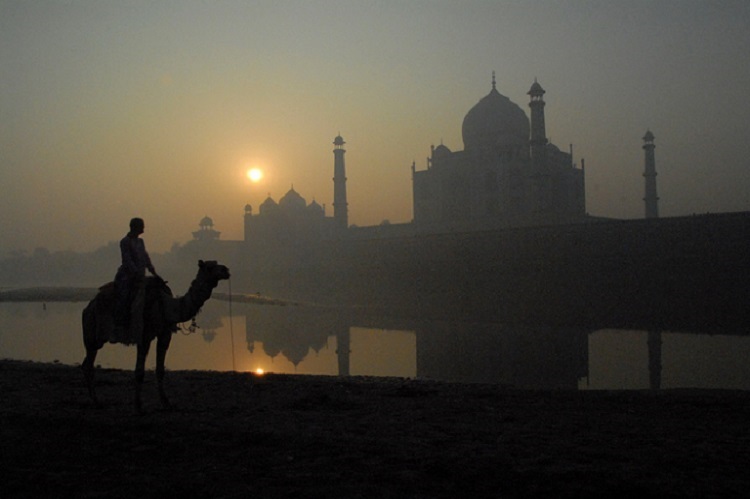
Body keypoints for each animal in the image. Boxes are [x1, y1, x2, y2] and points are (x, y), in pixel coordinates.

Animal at [81, 260, 231, 412]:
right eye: (210, 267)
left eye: (217, 263)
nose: (226, 270)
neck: (166, 306)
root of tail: (88, 306)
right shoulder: (144, 337)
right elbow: (139, 371)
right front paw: (138, 406)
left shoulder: (165, 334)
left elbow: (160, 370)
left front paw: (166, 403)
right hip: (91, 333)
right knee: (89, 365)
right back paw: (96, 401)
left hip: (96, 339)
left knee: (86, 364)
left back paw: (95, 400)